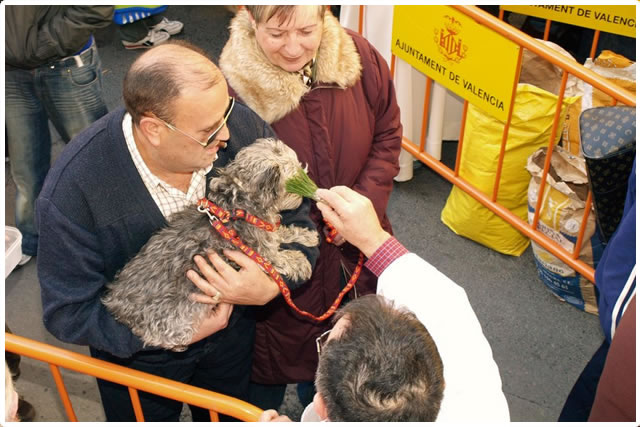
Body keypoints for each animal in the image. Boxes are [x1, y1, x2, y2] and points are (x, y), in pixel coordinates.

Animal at [102, 139, 320, 352]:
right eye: (293, 180)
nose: (309, 191)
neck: (238, 207)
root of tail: (115, 304)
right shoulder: (261, 252)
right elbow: (281, 257)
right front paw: (301, 262)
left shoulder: (265, 231)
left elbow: (279, 232)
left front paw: (306, 235)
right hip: (172, 320)